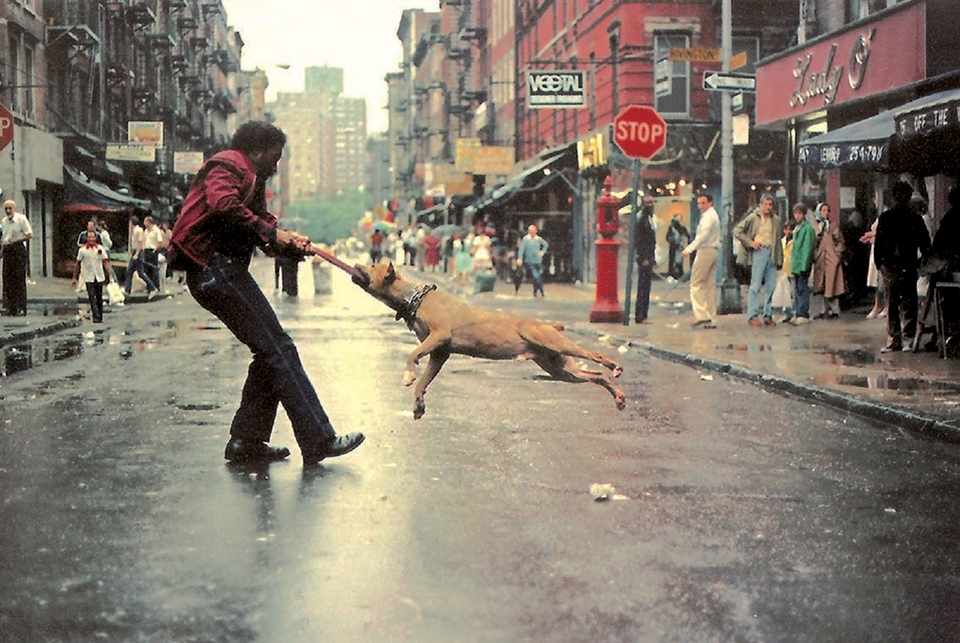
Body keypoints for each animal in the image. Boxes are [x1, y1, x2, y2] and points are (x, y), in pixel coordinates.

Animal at [348, 262, 628, 420]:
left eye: (372, 266)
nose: (355, 263)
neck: (411, 296)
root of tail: (549, 324)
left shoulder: (440, 336)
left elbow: (411, 355)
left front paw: (408, 376)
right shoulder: (439, 353)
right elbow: (424, 380)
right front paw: (418, 404)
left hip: (553, 343)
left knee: (595, 356)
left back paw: (614, 366)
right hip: (559, 368)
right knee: (595, 375)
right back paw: (618, 395)